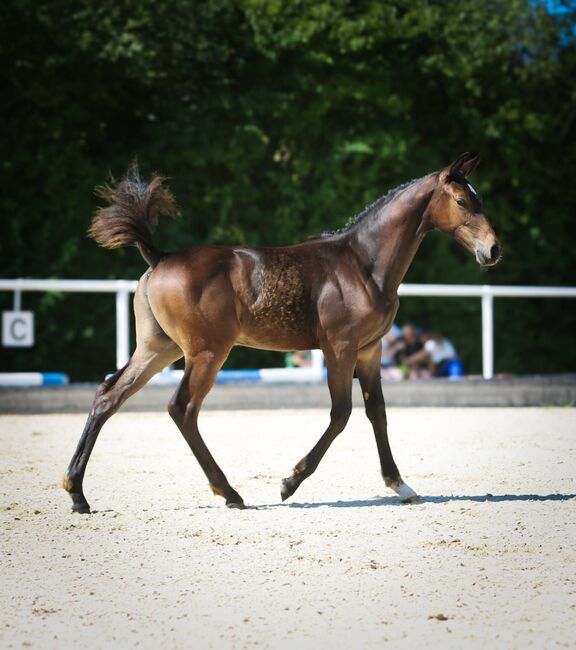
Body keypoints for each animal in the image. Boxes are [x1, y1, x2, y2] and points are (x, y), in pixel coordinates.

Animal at [63, 153, 500, 512]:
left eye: (480, 199)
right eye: (462, 201)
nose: (493, 250)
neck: (362, 264)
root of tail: (159, 257)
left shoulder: (369, 350)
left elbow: (377, 412)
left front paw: (400, 485)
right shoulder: (339, 348)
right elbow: (341, 413)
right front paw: (289, 483)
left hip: (159, 348)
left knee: (109, 395)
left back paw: (77, 493)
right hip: (206, 353)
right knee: (181, 408)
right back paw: (230, 493)